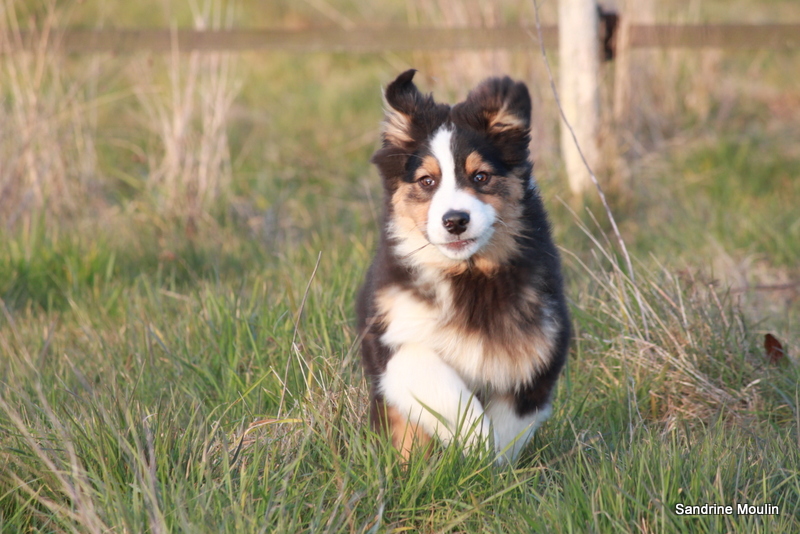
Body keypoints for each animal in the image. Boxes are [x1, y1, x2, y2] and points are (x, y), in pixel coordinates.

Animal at [356, 71, 568, 464]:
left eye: (481, 177)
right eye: (427, 181)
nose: (455, 221)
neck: (469, 276)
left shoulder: (543, 340)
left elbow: (514, 415)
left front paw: (492, 463)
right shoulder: (392, 335)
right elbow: (440, 384)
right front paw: (474, 444)